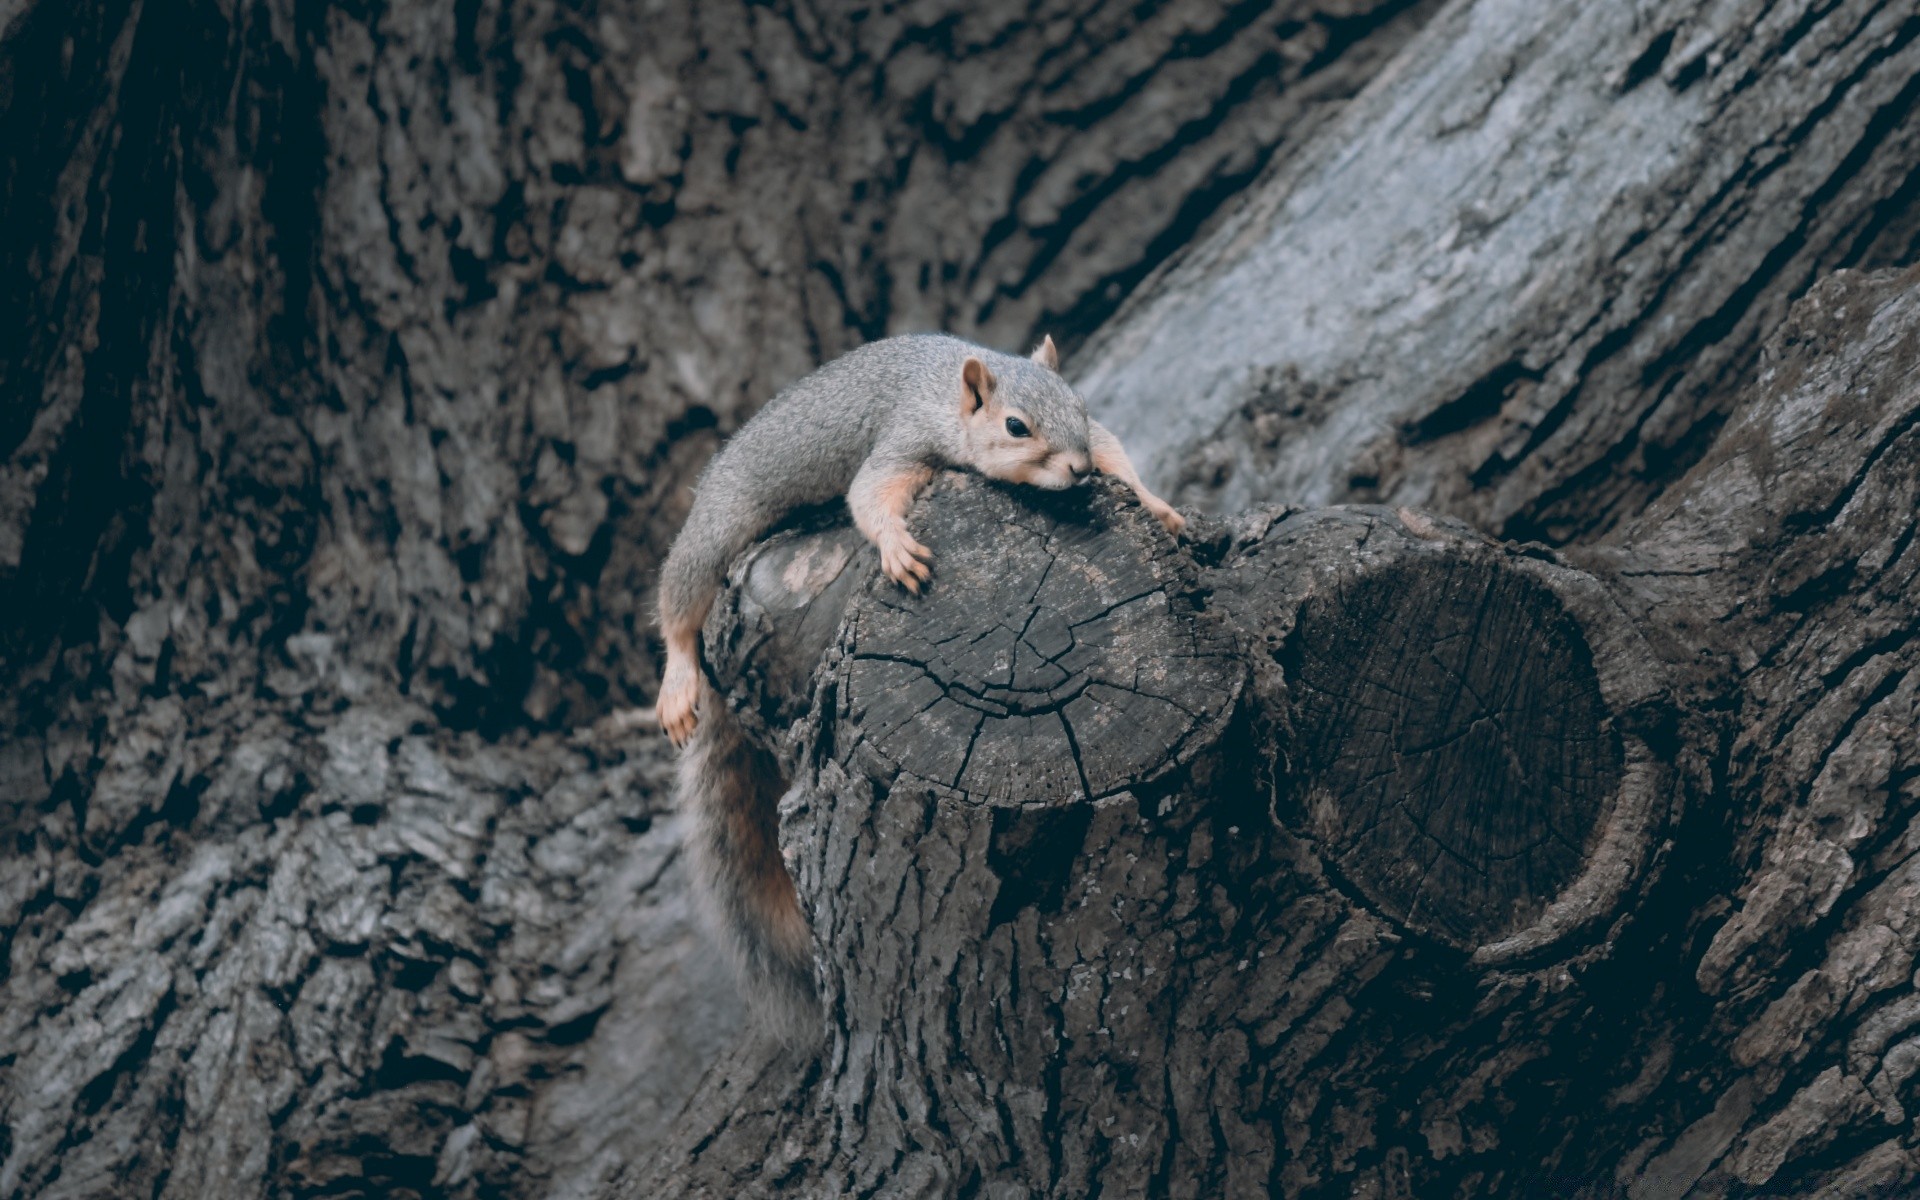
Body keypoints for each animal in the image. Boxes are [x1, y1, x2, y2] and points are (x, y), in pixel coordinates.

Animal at [652, 332, 1175, 1036]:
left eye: (1080, 405)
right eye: (1015, 427)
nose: (1077, 471)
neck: (950, 397)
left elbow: (1115, 448)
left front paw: (1157, 504)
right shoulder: (904, 435)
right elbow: (870, 493)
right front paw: (897, 547)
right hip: (716, 529)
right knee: (677, 606)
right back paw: (678, 682)